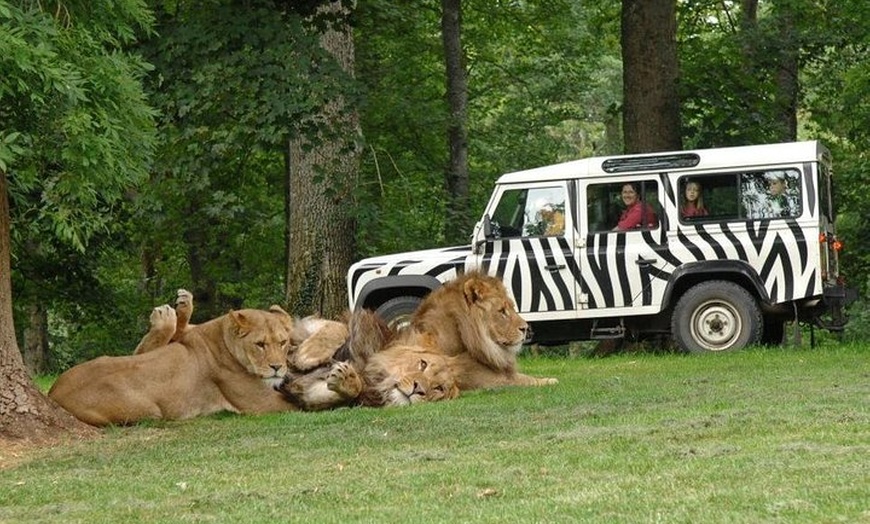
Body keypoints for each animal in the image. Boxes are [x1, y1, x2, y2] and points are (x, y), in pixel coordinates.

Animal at [48, 292, 300, 428]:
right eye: (260, 345)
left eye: (283, 342)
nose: (277, 367)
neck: (222, 334)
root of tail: (54, 393)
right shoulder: (261, 404)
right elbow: (297, 406)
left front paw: (181, 307)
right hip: (149, 411)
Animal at [402, 272, 560, 390]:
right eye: (502, 311)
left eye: (512, 307)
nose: (526, 328)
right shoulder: (493, 382)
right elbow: (530, 380)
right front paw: (551, 380)